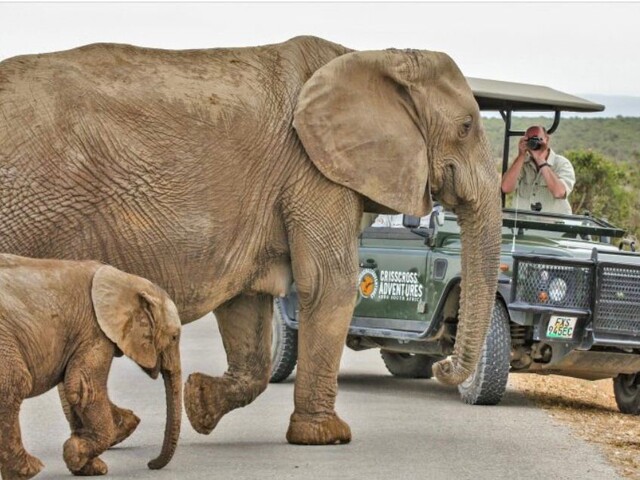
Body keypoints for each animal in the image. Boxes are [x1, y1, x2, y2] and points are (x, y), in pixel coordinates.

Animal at [0, 36, 500, 446]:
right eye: (466, 126)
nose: (442, 367)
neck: (373, 56)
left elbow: (250, 301)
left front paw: (199, 404)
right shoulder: (312, 172)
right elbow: (331, 284)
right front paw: (327, 436)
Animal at [0, 253, 182, 478]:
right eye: (174, 337)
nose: (150, 464)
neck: (126, 280)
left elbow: (73, 391)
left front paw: (89, 468)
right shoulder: (94, 330)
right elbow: (84, 387)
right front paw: (76, 455)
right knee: (14, 384)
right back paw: (30, 470)